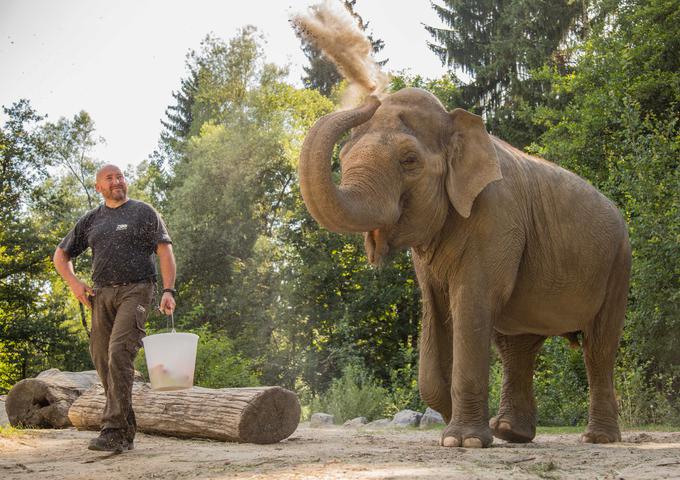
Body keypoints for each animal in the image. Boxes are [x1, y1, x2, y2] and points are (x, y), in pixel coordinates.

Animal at [298, 85, 632, 446]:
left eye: (409, 160)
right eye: (343, 157)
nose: (372, 96)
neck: (456, 123)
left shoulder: (497, 217)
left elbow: (471, 302)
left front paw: (462, 441)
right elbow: (436, 311)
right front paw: (453, 425)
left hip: (619, 262)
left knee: (598, 347)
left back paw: (597, 438)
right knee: (516, 347)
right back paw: (510, 432)